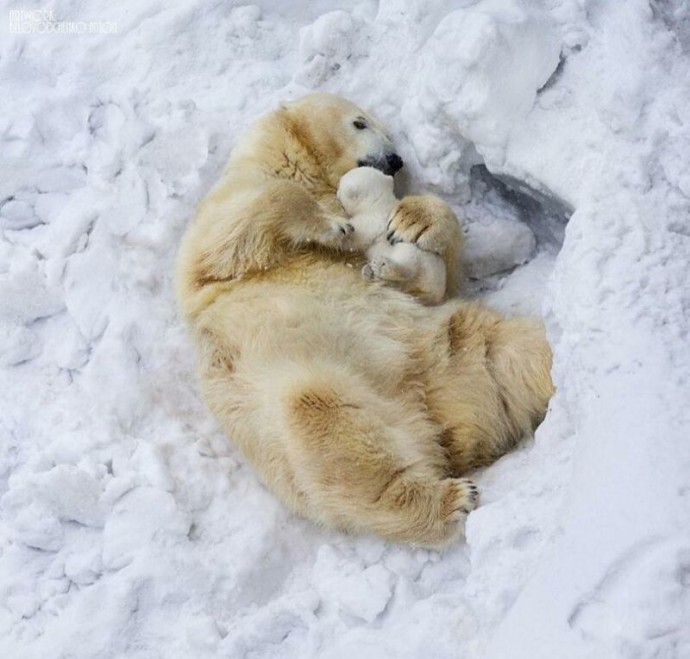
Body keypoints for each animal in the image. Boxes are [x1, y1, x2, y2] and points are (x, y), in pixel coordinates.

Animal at [336, 168, 448, 306]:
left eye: (340, 187)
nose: (336, 193)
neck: (378, 201)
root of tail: (436, 292)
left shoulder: (372, 219)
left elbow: (357, 236)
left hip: (420, 259)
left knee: (408, 264)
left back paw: (381, 265)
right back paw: (369, 272)